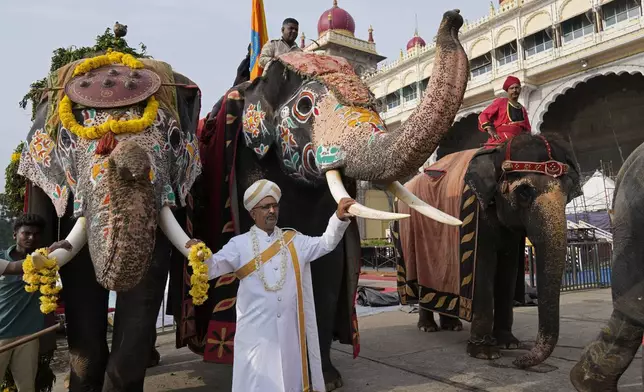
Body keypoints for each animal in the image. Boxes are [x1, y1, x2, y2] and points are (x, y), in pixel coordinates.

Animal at [172, 9, 468, 392]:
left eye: (376, 101)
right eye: (304, 106)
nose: (453, 17)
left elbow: (329, 265)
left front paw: (327, 377)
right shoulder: (246, 166)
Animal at [392, 133, 584, 370]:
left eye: (569, 193)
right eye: (524, 192)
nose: (519, 361)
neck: (497, 153)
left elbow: (508, 270)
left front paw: (509, 344)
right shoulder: (478, 215)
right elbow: (483, 266)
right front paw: (486, 353)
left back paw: (452, 326)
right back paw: (427, 328)